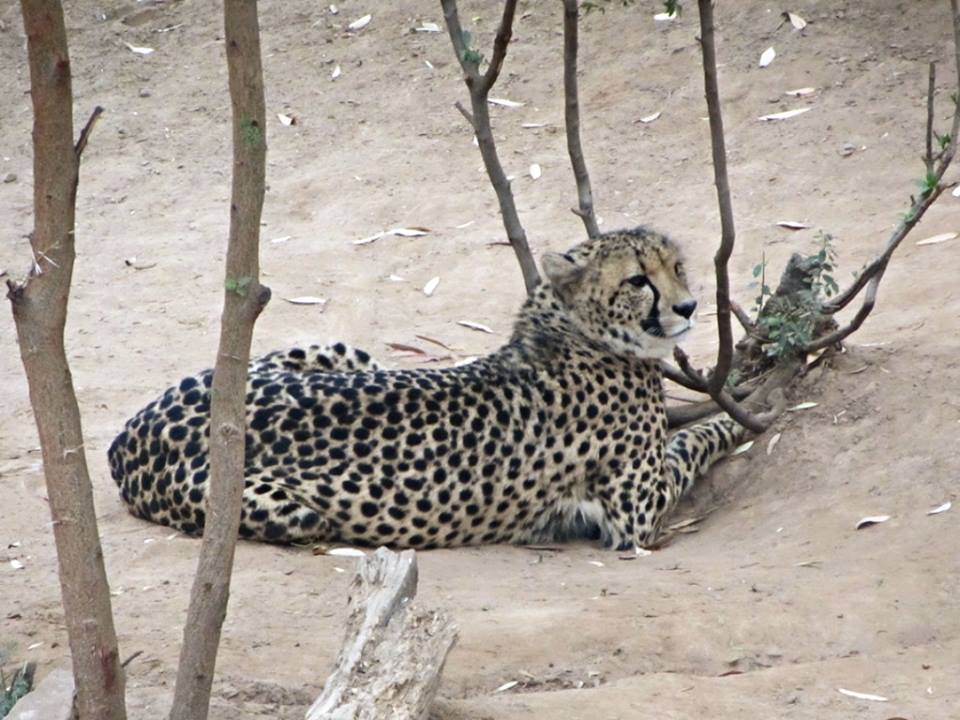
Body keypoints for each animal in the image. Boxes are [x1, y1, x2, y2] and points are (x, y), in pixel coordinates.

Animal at [108, 226, 749, 551]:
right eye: (639, 280)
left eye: (677, 268)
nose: (688, 307)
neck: (571, 327)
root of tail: (129, 433)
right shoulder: (636, 514)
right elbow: (695, 441)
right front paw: (743, 411)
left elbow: (684, 423)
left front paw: (732, 387)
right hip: (293, 511)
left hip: (344, 353)